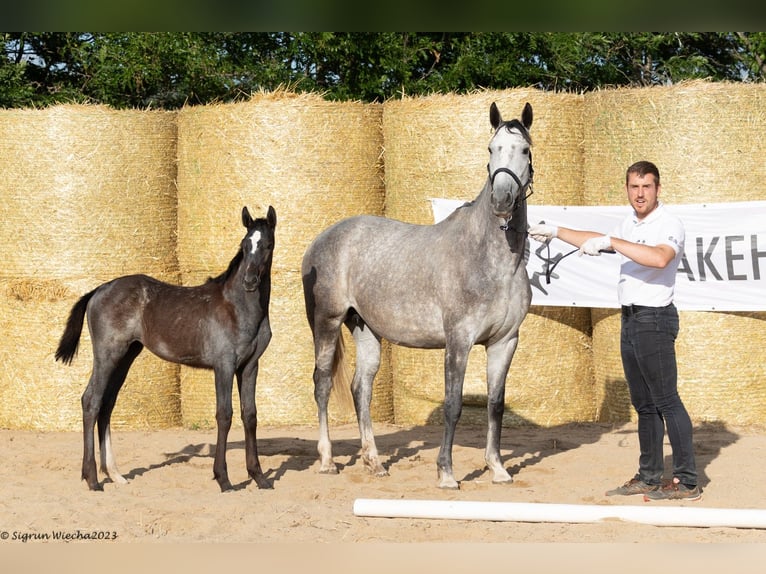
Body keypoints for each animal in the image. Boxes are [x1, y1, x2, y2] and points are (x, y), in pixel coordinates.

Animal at [302, 103, 536, 490]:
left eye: (525, 151)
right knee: (322, 384)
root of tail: (322, 239)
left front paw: (498, 469)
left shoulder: (505, 341)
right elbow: (453, 405)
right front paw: (446, 474)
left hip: (364, 327)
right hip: (327, 322)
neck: (493, 260)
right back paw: (326, 460)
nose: (502, 199)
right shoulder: (458, 340)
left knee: (360, 388)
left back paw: (374, 462)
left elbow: (495, 405)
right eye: (491, 149)